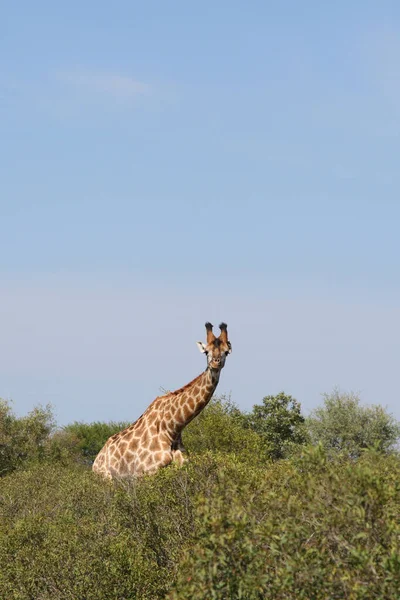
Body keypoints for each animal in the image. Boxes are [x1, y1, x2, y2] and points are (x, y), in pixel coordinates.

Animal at [92, 322, 231, 480]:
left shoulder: (182, 467)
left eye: (226, 352)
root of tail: (95, 462)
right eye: (206, 352)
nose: (215, 363)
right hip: (106, 478)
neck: (172, 428)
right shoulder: (145, 473)